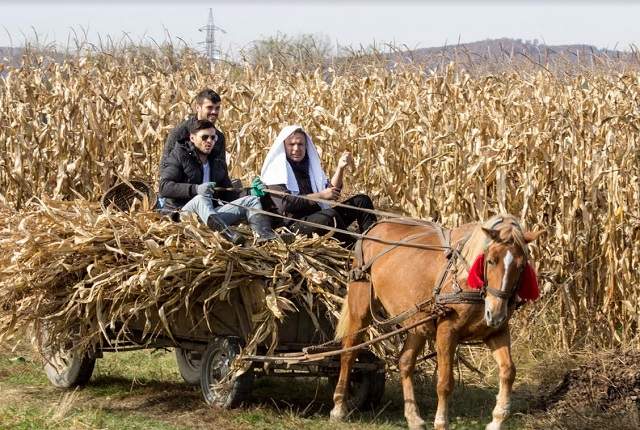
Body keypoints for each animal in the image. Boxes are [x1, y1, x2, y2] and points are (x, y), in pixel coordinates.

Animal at [328, 215, 544, 430]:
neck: (466, 281)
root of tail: (374, 227)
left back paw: (413, 417)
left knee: (405, 362)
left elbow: (508, 371)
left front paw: (497, 420)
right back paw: (339, 406)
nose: (496, 313)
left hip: (417, 321)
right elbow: (445, 382)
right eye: (490, 261)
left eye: (521, 266)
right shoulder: (447, 331)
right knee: (349, 353)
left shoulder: (496, 332)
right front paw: (441, 422)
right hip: (360, 307)